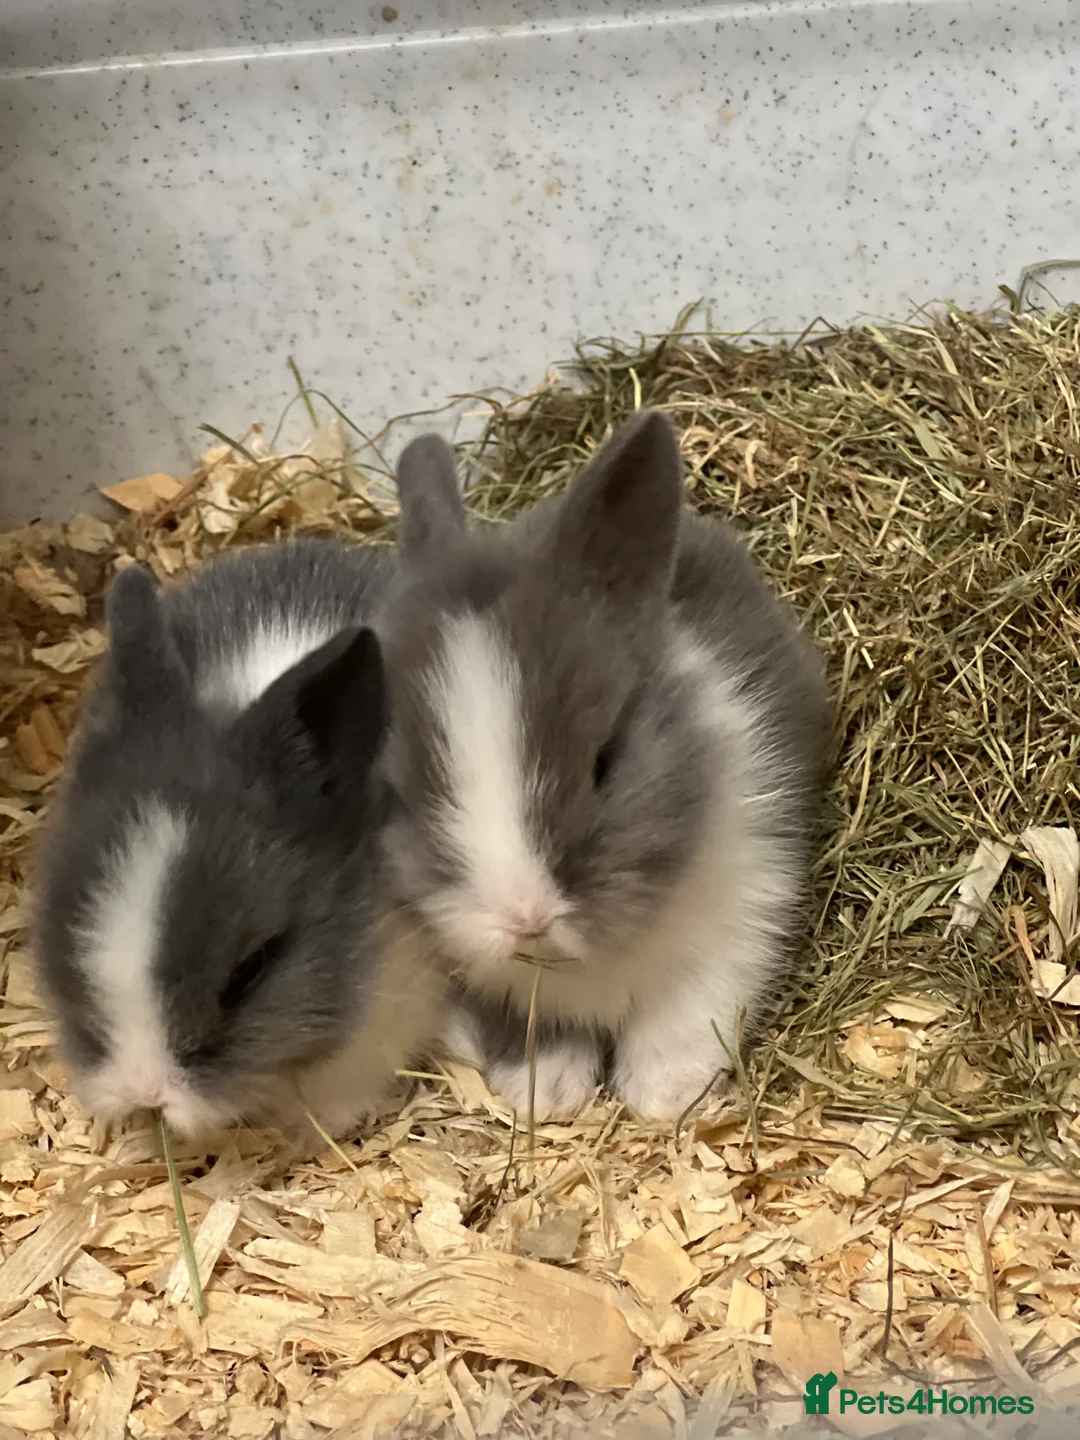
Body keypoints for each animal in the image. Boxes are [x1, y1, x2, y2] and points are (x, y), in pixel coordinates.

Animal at [374, 411, 832, 1121]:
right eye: (403, 792)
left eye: (604, 760)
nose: (526, 919)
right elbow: (529, 1031)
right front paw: (546, 1095)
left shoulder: (740, 915)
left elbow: (682, 1019)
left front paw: (662, 1098)